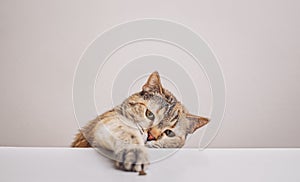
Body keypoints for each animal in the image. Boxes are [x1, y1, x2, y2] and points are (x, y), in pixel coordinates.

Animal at [71, 71, 210, 173]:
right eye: (149, 114)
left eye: (169, 133)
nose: (151, 136)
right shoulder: (109, 121)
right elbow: (128, 134)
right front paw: (135, 153)